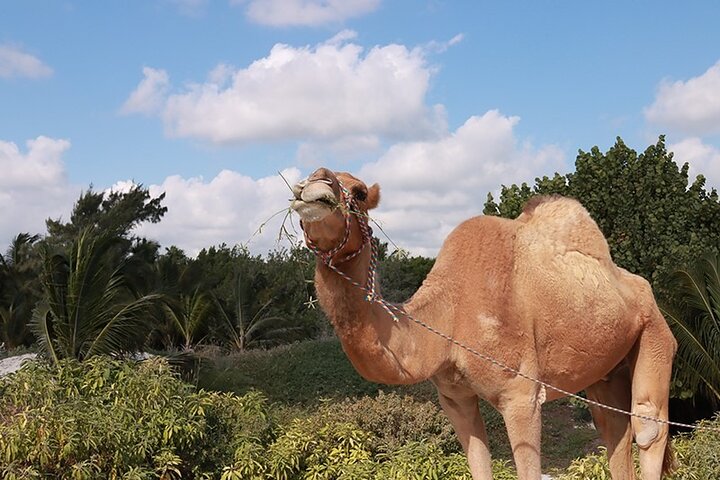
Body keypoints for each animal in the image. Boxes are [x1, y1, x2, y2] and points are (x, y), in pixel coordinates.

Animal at [290, 167, 677, 480]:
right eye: (307, 177)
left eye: (357, 192)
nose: (312, 185)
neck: (449, 316)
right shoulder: (455, 398)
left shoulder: (521, 395)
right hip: (605, 368)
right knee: (612, 426)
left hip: (656, 331)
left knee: (648, 426)